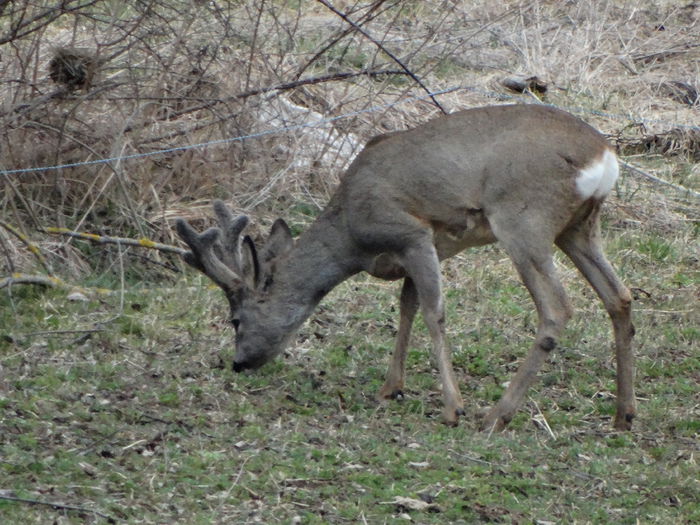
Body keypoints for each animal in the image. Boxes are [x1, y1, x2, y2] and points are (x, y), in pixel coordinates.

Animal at [175, 104, 636, 432]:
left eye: (235, 319)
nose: (238, 363)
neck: (352, 234)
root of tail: (604, 155)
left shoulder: (409, 231)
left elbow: (433, 312)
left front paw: (453, 408)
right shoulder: (428, 247)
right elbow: (407, 306)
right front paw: (391, 388)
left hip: (524, 220)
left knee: (557, 309)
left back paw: (494, 416)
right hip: (578, 228)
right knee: (620, 297)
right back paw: (623, 415)